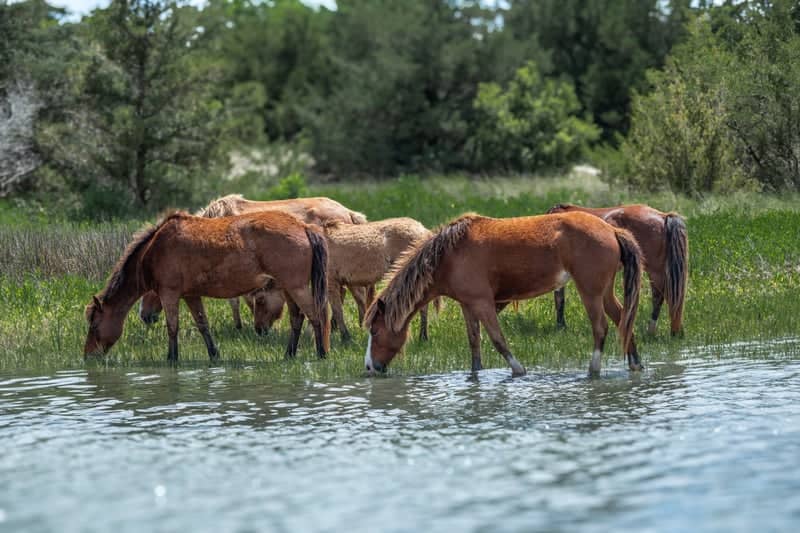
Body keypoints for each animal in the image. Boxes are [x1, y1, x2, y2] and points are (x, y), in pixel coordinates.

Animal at [85, 210, 330, 362]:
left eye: (94, 325)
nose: (88, 355)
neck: (153, 251)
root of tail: (303, 226)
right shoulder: (191, 295)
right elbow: (203, 325)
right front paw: (214, 355)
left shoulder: (169, 293)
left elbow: (172, 327)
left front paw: (171, 359)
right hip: (288, 288)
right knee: (297, 319)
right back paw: (289, 354)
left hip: (296, 287)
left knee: (315, 315)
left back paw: (321, 353)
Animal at [138, 194, 369, 333]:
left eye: (151, 285)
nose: (144, 316)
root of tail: (350, 213)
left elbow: (239, 300)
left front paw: (243, 326)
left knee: (355, 295)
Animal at [364, 212, 643, 377]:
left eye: (375, 331)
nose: (369, 366)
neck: (449, 255)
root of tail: (611, 230)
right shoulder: (467, 305)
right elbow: (474, 342)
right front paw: (475, 376)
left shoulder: (483, 303)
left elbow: (498, 340)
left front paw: (519, 371)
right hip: (604, 292)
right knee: (622, 319)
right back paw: (635, 363)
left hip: (590, 291)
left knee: (601, 327)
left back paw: (593, 371)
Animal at [546, 203, 688, 335]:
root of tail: (663, 216)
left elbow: (559, 299)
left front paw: (560, 326)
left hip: (655, 271)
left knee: (660, 297)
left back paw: (657, 331)